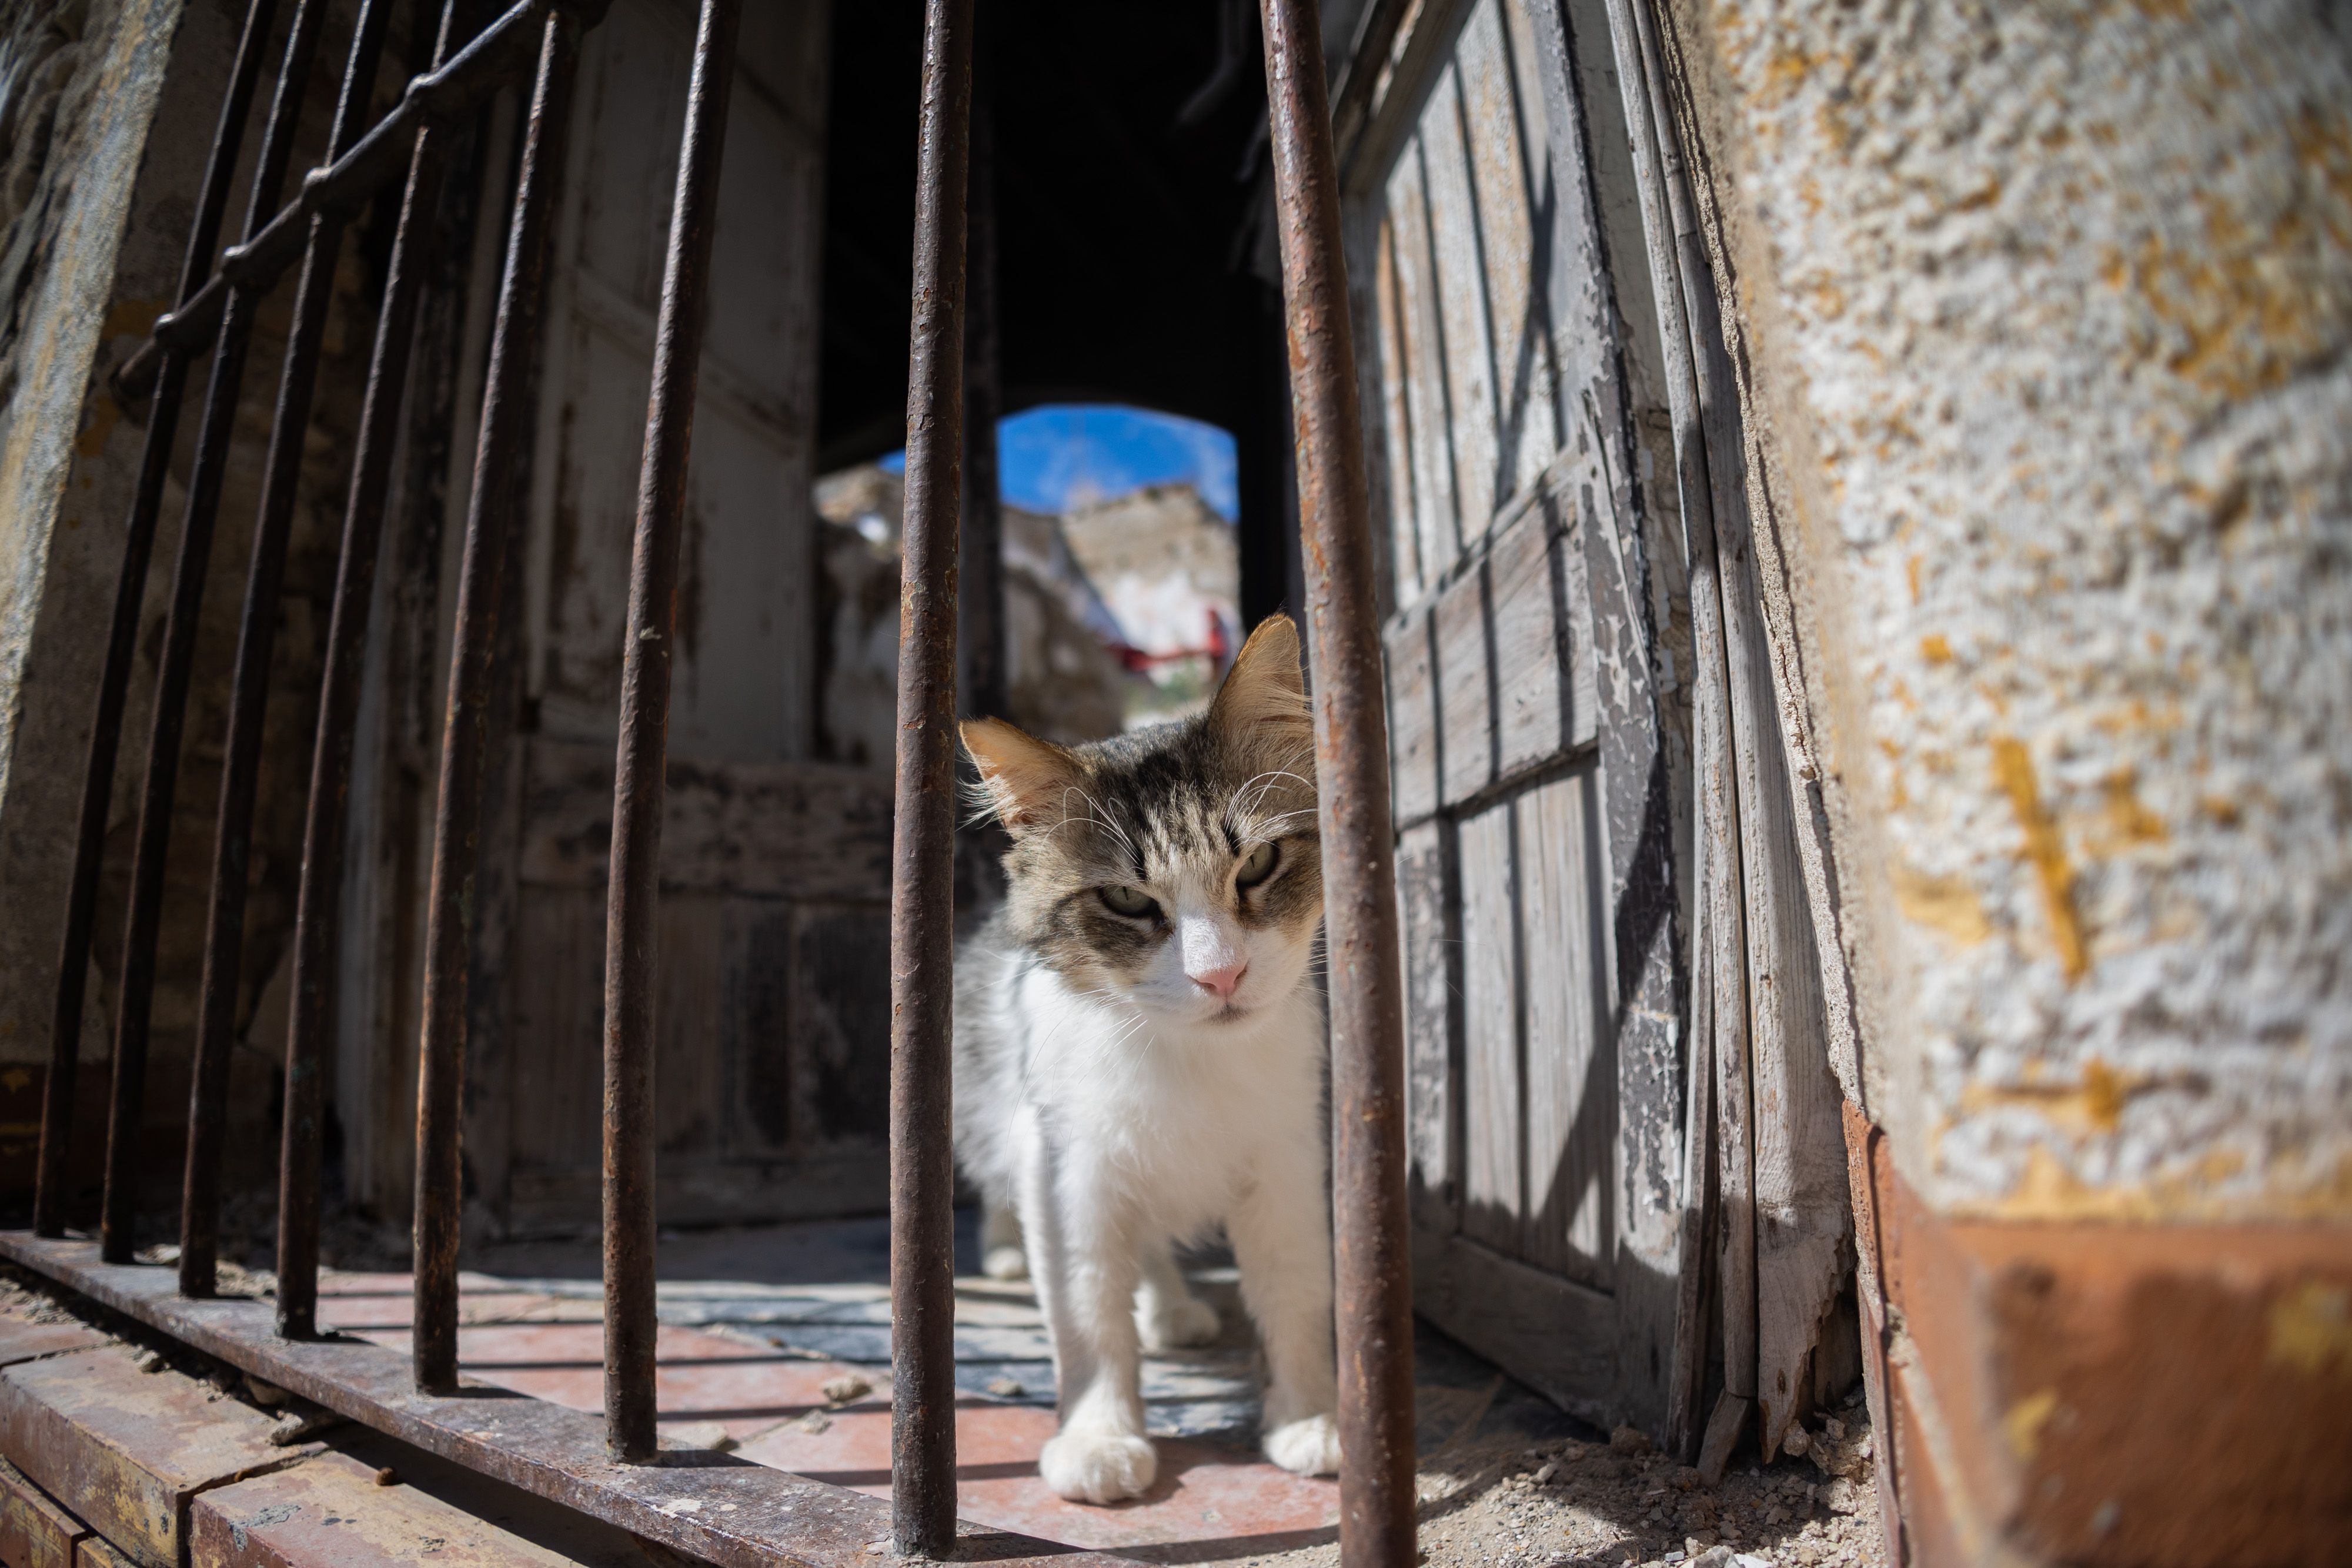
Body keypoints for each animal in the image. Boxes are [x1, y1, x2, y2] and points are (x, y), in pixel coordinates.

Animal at [950, 611, 1345, 1505]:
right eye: (1129, 900)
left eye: (1258, 864)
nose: (1220, 973)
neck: (1190, 1058)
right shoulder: (1068, 1168)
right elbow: (1088, 1313)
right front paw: (1099, 1433)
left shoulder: (1287, 1160)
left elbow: (1296, 1293)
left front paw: (1308, 1415)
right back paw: (1002, 1248)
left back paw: (1169, 1306)